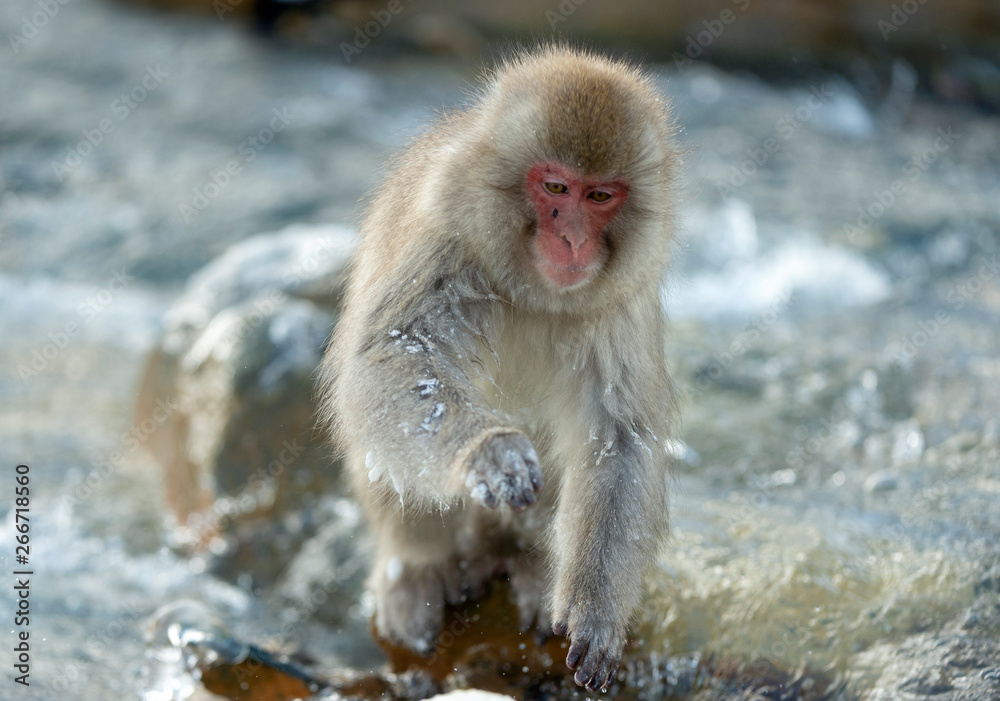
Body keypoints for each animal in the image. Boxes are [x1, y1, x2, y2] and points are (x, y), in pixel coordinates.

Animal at [319, 45, 677, 691]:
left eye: (600, 197)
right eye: (555, 186)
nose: (573, 240)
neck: (535, 288)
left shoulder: (621, 301)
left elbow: (618, 437)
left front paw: (596, 606)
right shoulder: (443, 236)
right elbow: (393, 354)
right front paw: (490, 452)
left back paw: (532, 565)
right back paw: (416, 568)